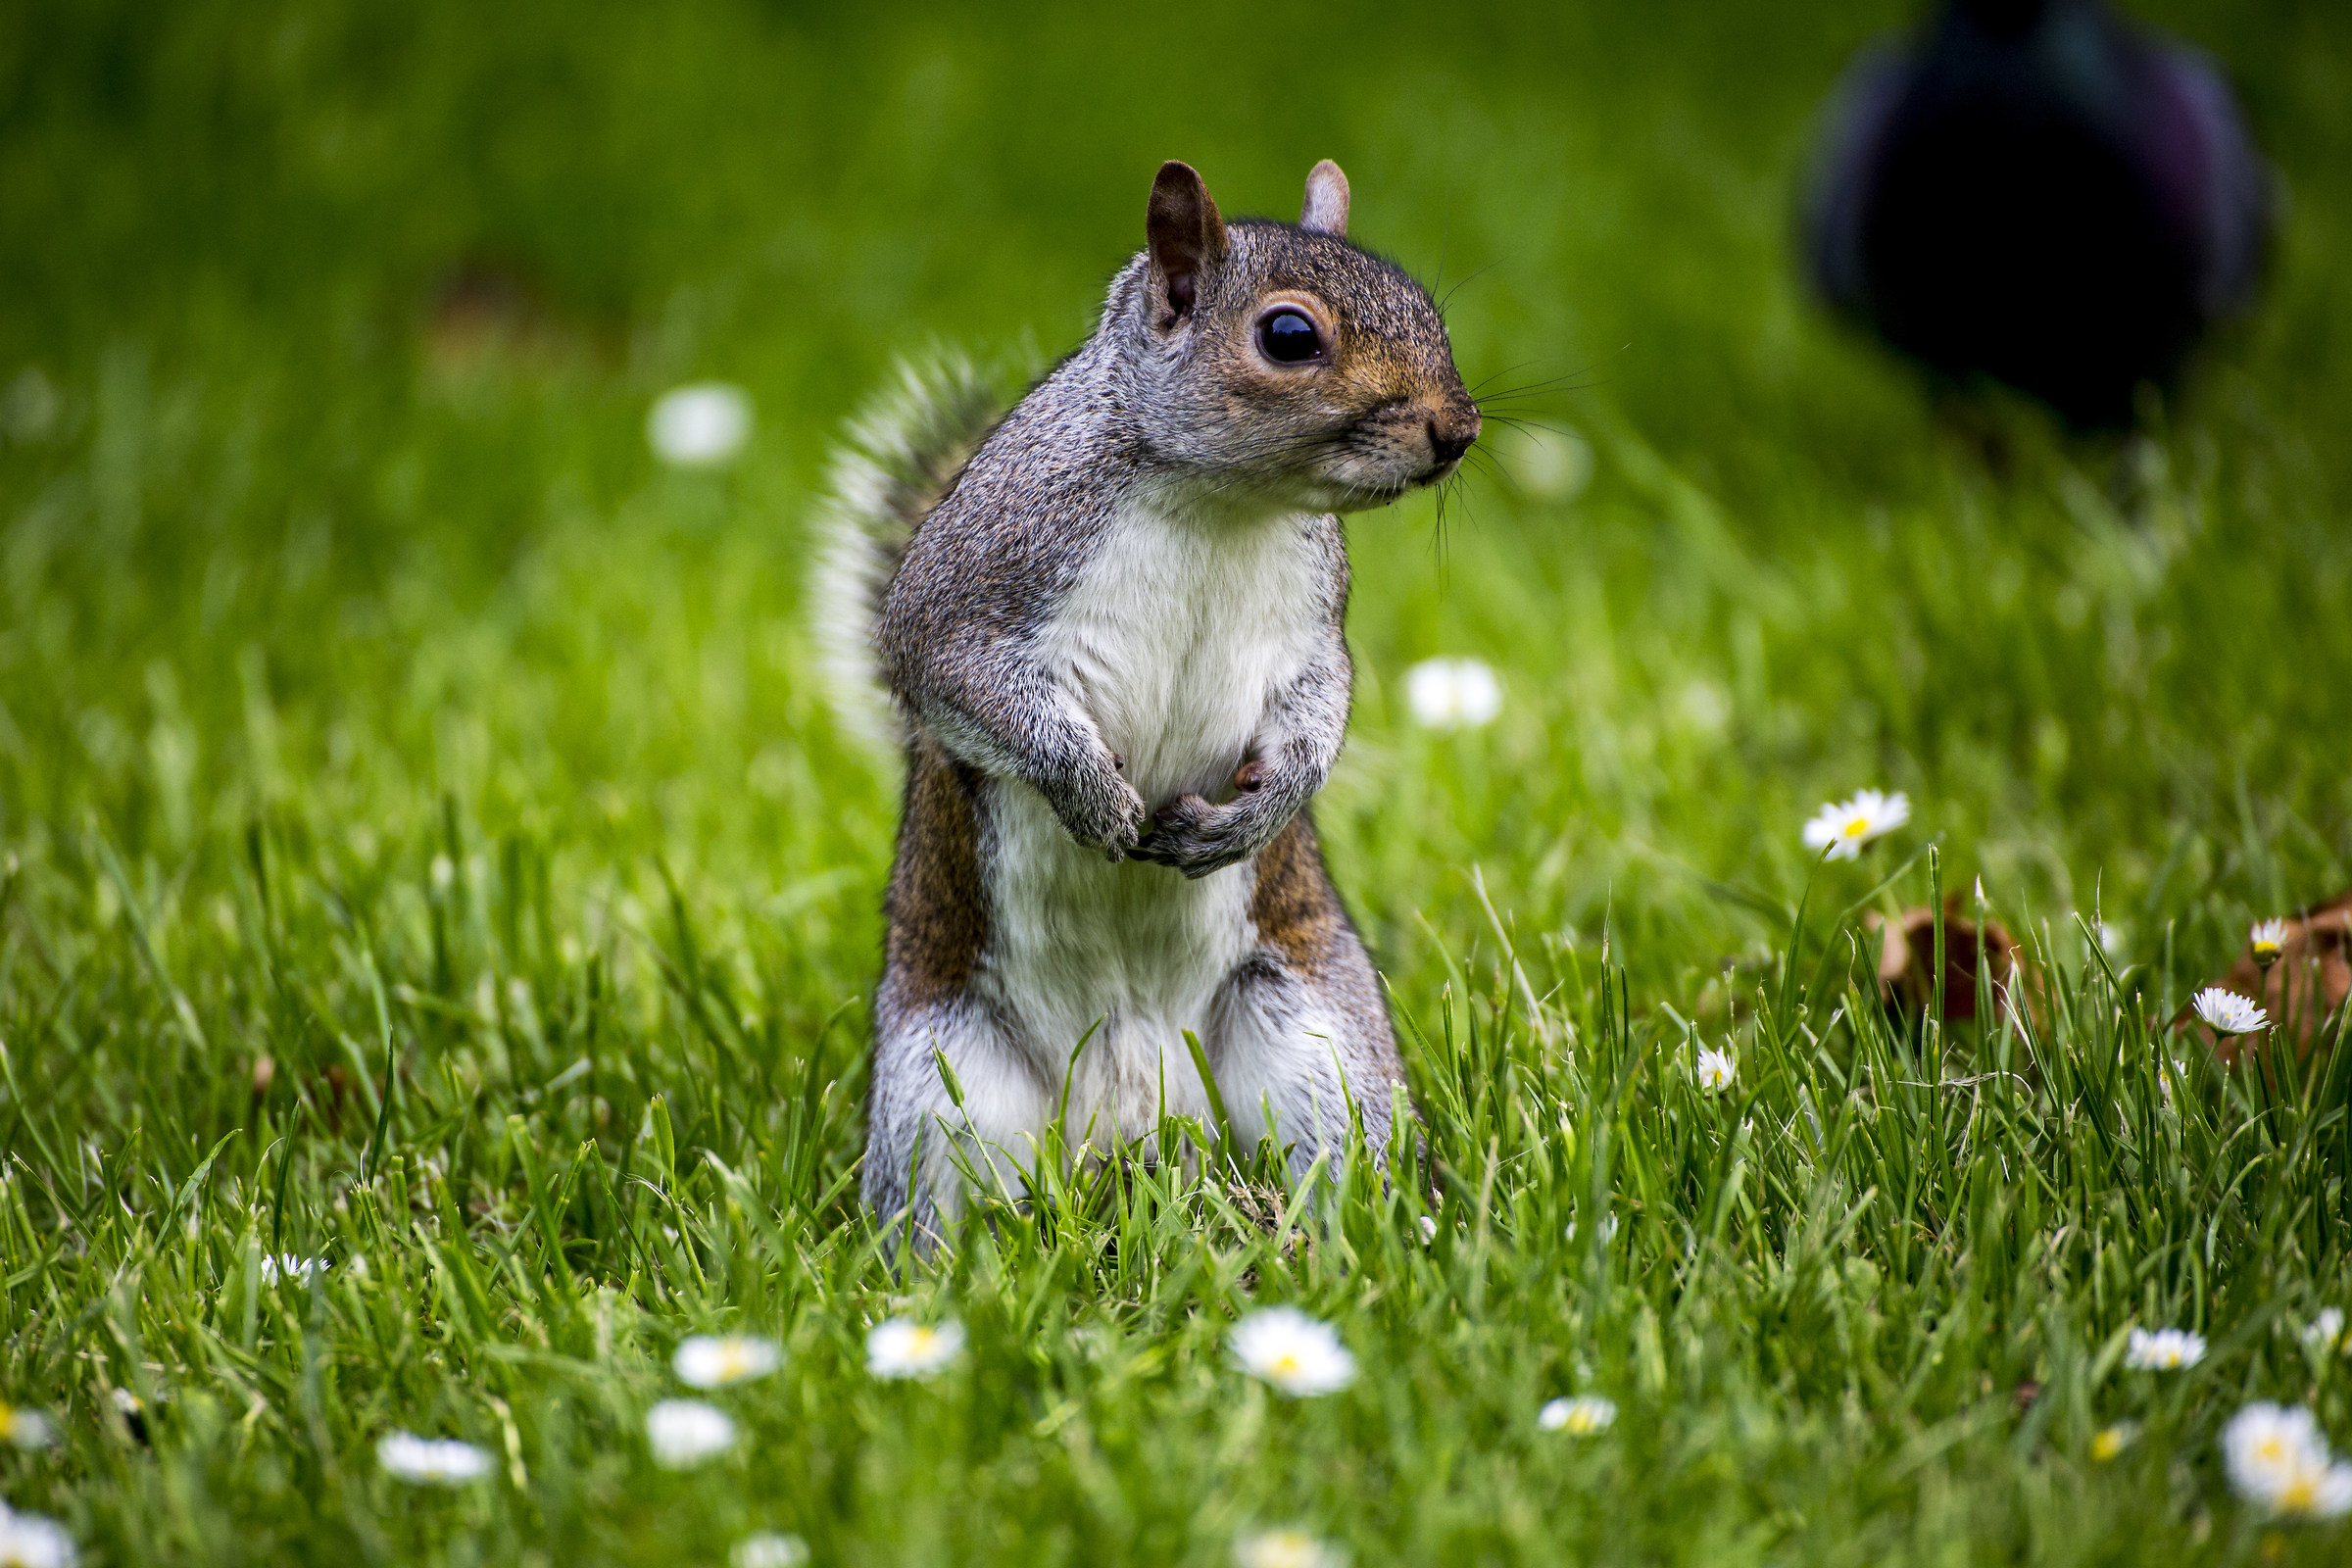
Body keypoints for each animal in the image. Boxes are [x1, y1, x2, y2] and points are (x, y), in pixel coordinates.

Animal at [813, 159, 1480, 1241]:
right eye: (1288, 336)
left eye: (1427, 309)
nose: (1458, 431)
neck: (1223, 501)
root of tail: (1131, 1120)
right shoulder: (974, 576)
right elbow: (953, 675)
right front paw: (1087, 789)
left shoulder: (1314, 627)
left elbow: (1320, 709)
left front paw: (1255, 813)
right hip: (940, 1084)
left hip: (1317, 1037)